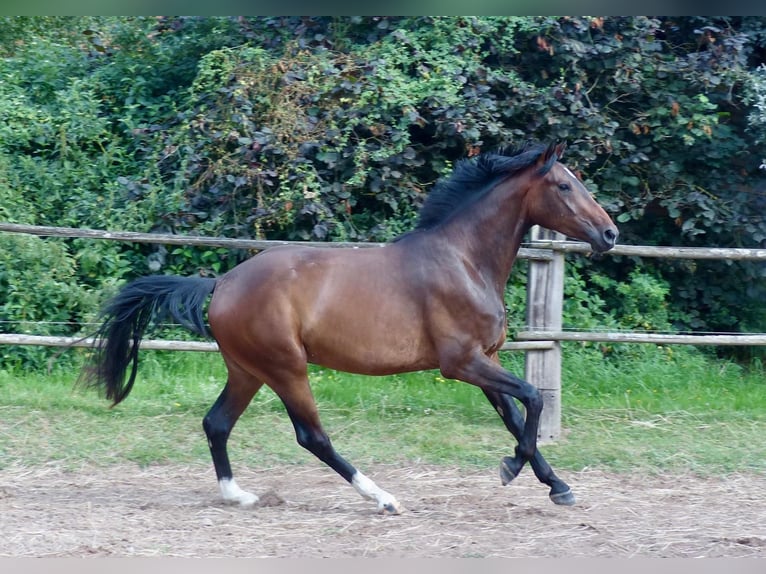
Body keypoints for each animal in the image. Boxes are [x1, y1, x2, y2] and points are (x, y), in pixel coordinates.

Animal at [82, 142, 616, 516]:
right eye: (565, 186)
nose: (609, 233)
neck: (464, 260)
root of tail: (221, 283)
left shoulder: (485, 360)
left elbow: (515, 413)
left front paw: (557, 487)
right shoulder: (461, 362)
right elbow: (534, 398)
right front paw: (511, 468)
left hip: (247, 370)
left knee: (216, 423)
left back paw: (241, 497)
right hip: (286, 368)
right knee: (312, 437)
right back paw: (383, 498)